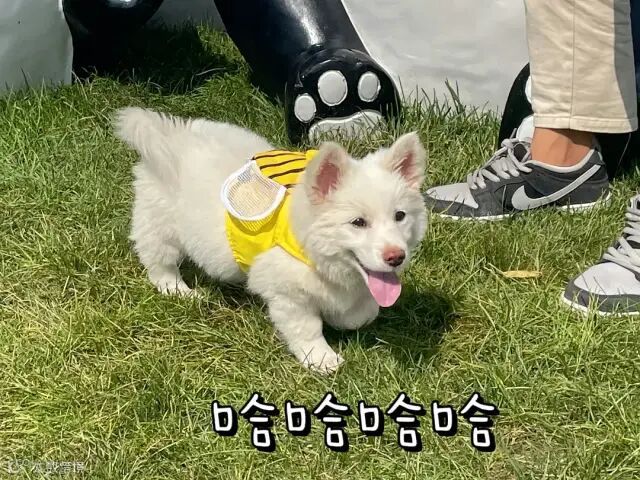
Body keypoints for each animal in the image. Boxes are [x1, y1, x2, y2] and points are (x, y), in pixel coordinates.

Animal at [115, 107, 428, 373]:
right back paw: (178, 290)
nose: (396, 257)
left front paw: (345, 317)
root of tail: (170, 135)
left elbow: (363, 311)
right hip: (159, 225)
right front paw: (321, 358)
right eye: (358, 222)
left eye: (400, 216)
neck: (309, 246)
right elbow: (307, 328)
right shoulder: (287, 294)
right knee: (158, 261)